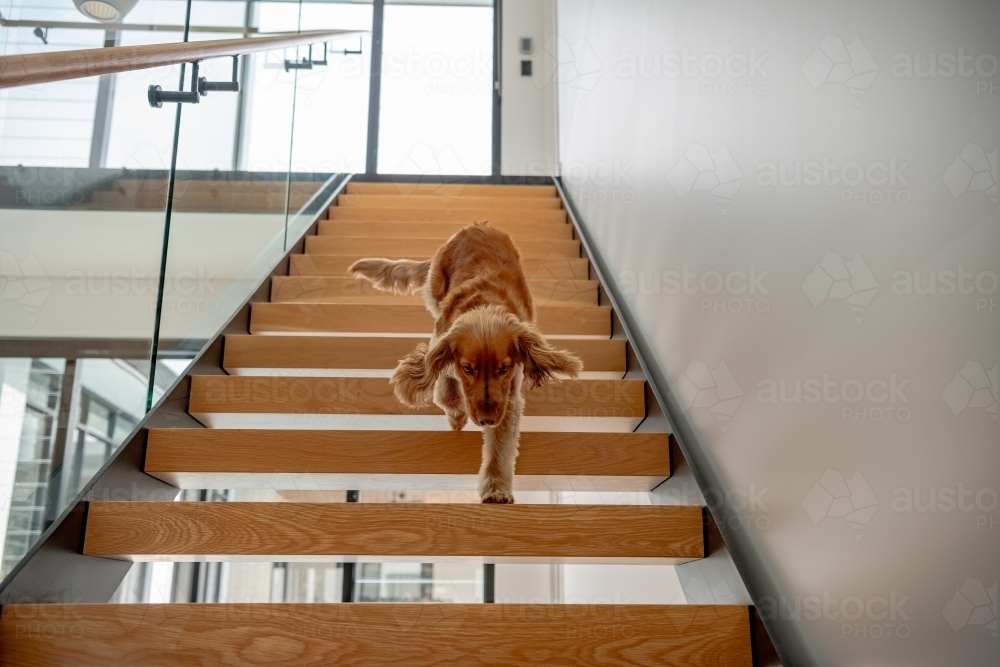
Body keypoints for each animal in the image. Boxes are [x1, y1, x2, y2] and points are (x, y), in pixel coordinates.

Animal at [352, 222, 584, 504]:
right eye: (468, 368)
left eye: (503, 368)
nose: (486, 420)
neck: (484, 307)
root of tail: (476, 226)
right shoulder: (443, 346)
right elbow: (444, 388)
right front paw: (456, 415)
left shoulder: (508, 399)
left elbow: (500, 446)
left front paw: (496, 488)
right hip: (436, 287)